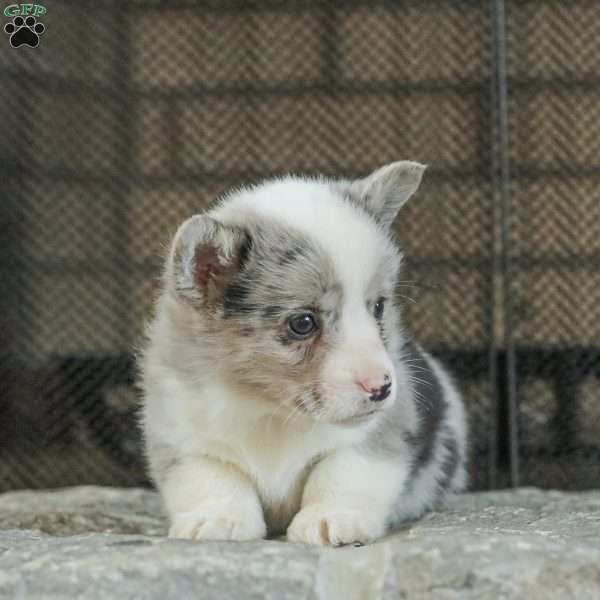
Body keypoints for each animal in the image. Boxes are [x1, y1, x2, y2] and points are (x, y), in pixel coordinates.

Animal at [141, 162, 468, 548]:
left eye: (378, 306)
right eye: (303, 323)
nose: (381, 388)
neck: (271, 412)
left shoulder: (379, 434)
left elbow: (342, 470)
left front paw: (331, 519)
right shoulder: (184, 439)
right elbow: (213, 477)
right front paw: (218, 519)